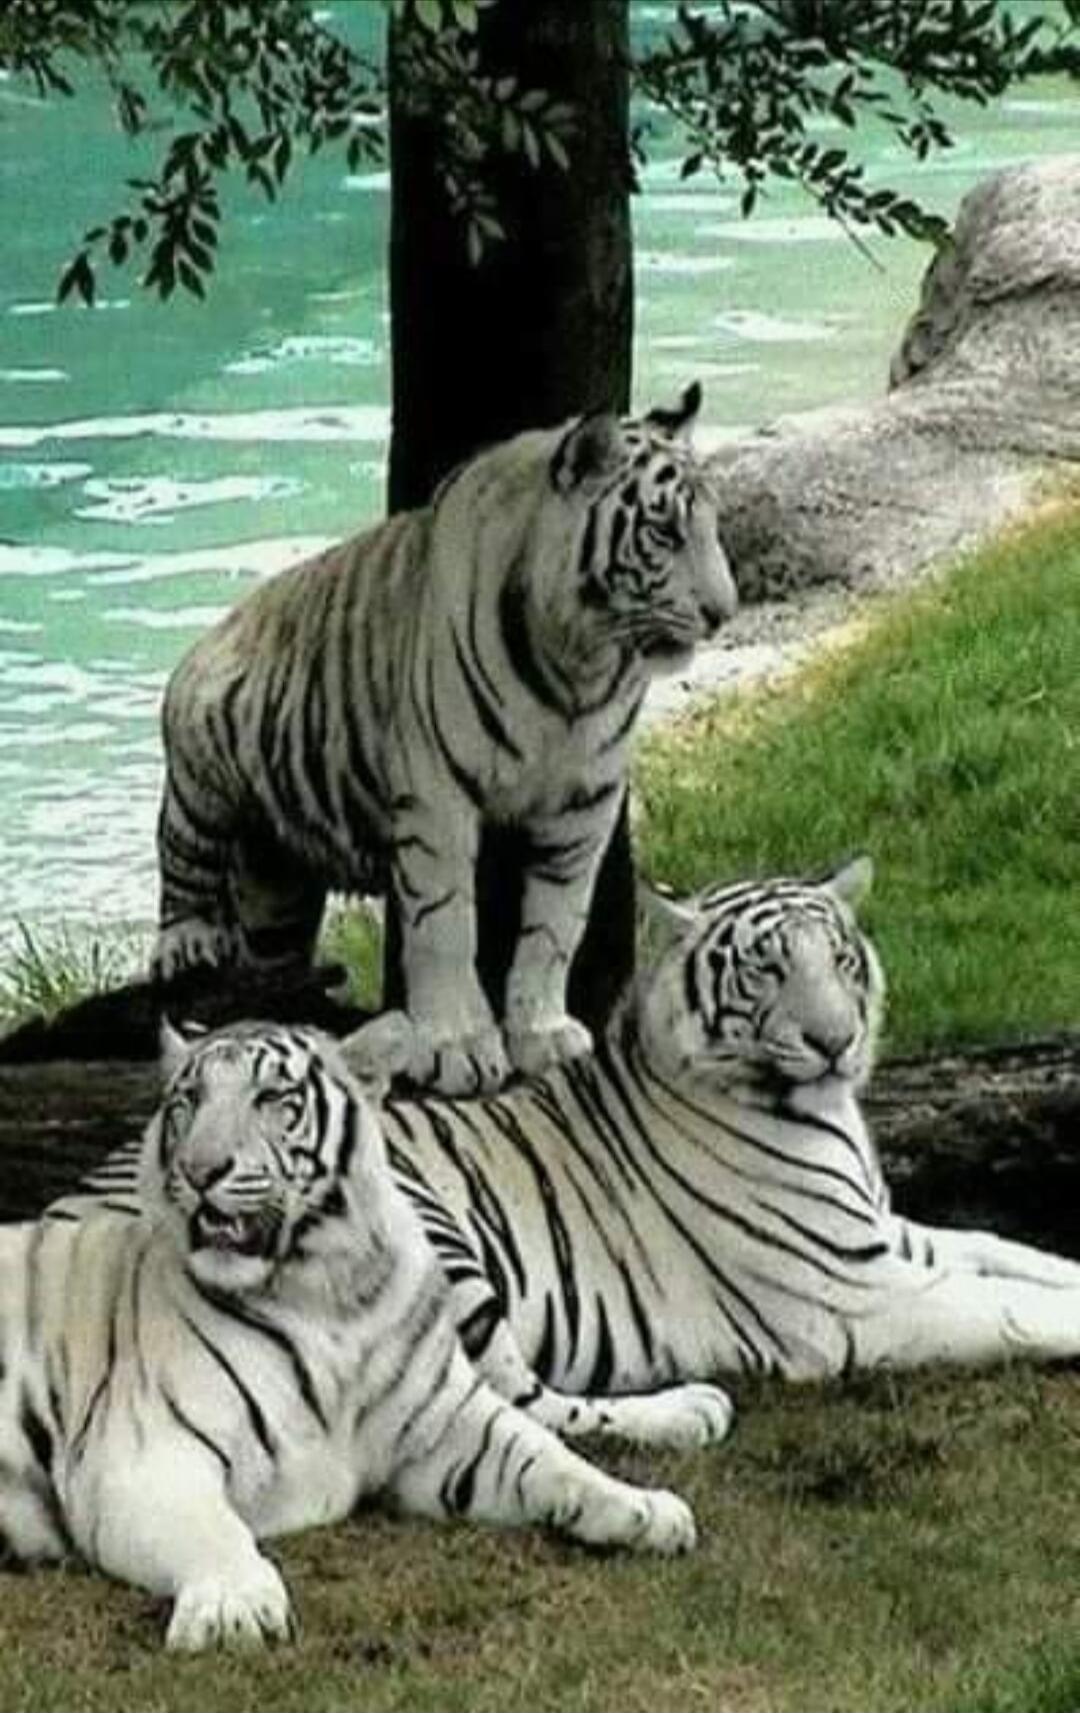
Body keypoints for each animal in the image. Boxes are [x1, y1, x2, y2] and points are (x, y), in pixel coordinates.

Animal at [2, 1023, 699, 1651]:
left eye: (271, 1098)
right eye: (188, 1101)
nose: (199, 1170)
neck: (330, 1294)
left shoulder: (447, 1428)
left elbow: (548, 1457)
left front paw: (644, 1508)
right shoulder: (140, 1456)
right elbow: (212, 1530)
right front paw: (234, 1607)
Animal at [51, 858, 1080, 1448]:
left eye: (840, 959)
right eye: (767, 970)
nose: (836, 1041)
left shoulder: (892, 1235)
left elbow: (1013, 1253)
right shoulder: (855, 1295)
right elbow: (1010, 1306)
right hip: (439, 1243)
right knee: (520, 1401)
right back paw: (686, 1413)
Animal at [151, 381, 737, 1097]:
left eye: (711, 527)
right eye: (663, 532)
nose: (723, 612)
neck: (580, 666)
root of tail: (222, 624)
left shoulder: (585, 806)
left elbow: (555, 926)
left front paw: (542, 1034)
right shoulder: (438, 800)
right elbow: (446, 926)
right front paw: (458, 1046)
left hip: (276, 875)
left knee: (269, 942)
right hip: (201, 770)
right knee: (182, 862)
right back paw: (187, 943)